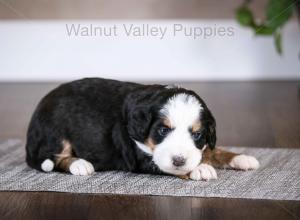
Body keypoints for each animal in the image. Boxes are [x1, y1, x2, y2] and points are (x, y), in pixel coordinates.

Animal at [25, 77, 258, 180]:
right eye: (163, 131)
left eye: (197, 134)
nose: (179, 160)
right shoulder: (139, 156)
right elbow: (169, 166)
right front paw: (199, 169)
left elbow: (212, 150)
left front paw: (241, 158)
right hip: (56, 131)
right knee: (55, 158)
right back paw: (80, 164)